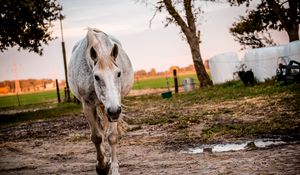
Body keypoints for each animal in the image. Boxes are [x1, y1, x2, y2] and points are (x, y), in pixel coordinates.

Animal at [68, 28, 134, 174]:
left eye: (118, 73)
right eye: (96, 77)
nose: (114, 111)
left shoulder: (115, 106)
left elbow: (112, 137)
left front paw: (113, 169)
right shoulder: (88, 106)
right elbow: (97, 137)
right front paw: (102, 166)